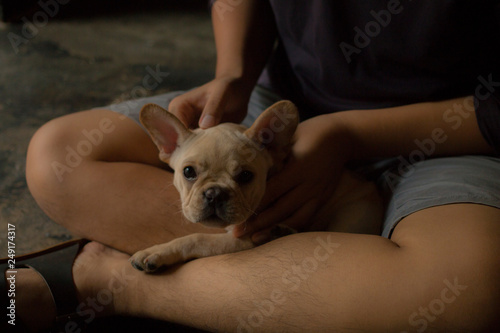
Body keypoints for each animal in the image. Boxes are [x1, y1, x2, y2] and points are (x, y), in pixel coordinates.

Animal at [131, 101, 380, 272]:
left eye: (245, 176)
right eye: (188, 172)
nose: (215, 193)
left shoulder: (242, 238)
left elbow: (197, 238)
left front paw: (158, 252)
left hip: (352, 216)